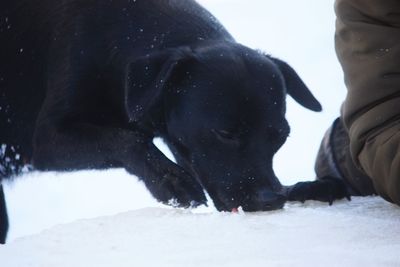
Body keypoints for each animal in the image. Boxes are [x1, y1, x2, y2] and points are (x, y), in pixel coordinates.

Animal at [0, 0, 346, 244]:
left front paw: (306, 187)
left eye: (281, 137)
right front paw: (170, 180)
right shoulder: (45, 142)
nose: (271, 199)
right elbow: (127, 139)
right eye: (225, 133)